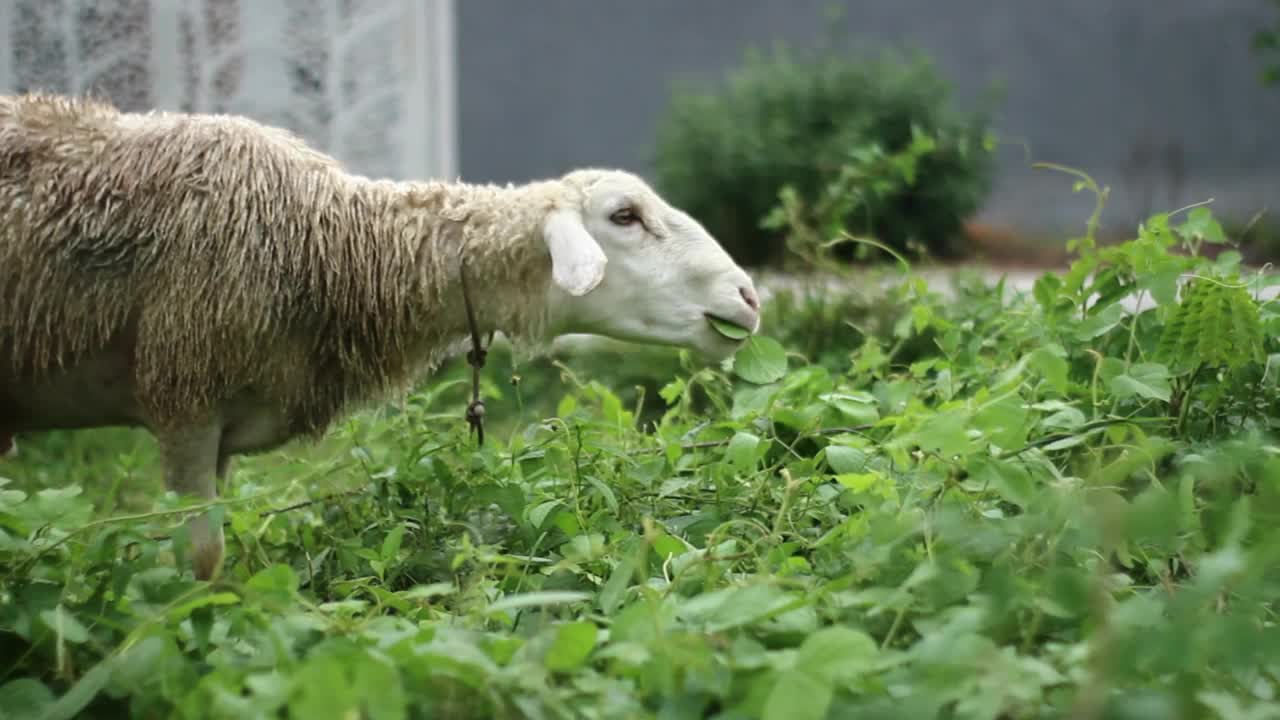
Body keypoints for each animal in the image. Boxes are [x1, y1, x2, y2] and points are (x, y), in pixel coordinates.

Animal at [0, 92, 757, 579]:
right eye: (624, 216)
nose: (747, 298)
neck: (332, 246)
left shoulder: (218, 426)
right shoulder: (183, 393)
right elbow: (203, 558)